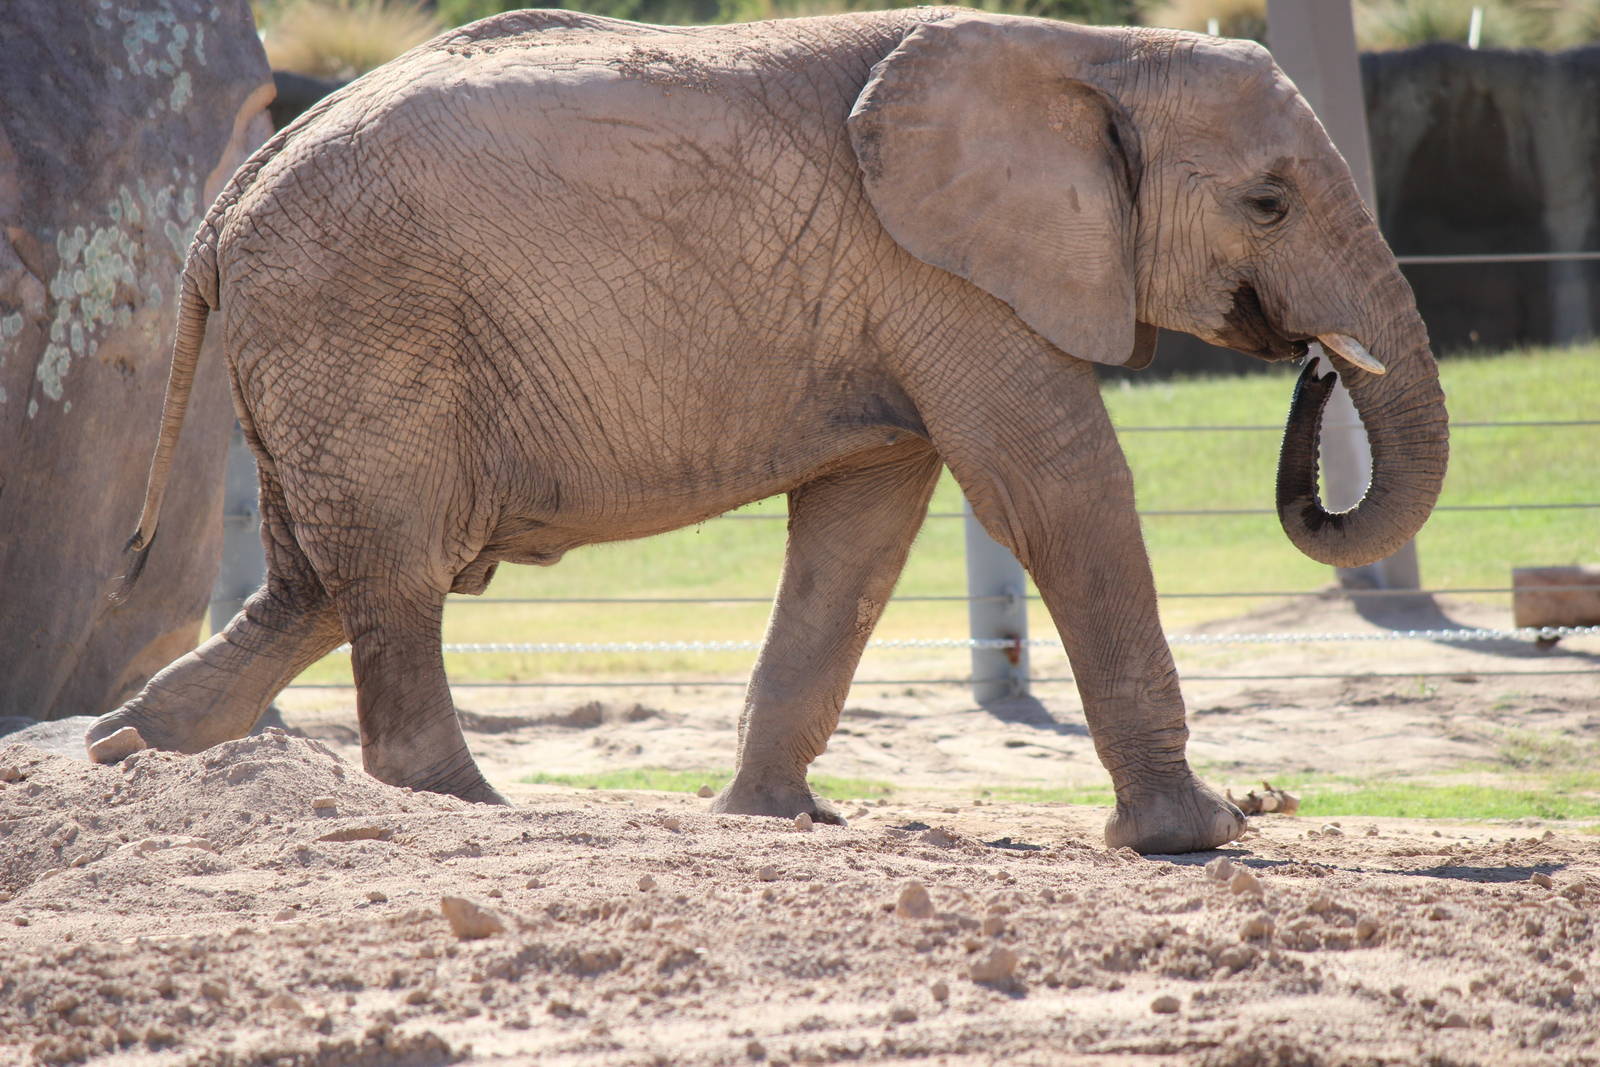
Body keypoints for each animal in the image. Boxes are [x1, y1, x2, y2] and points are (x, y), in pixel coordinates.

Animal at [86, 7, 1448, 854]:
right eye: (1266, 204)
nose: (1314, 356)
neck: (1092, 53)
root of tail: (222, 206)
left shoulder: (904, 292)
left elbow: (861, 529)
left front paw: (770, 817)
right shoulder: (942, 273)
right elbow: (1058, 489)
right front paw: (1198, 835)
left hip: (320, 345)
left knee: (322, 578)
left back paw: (127, 749)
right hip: (363, 322)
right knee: (397, 566)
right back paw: (461, 800)